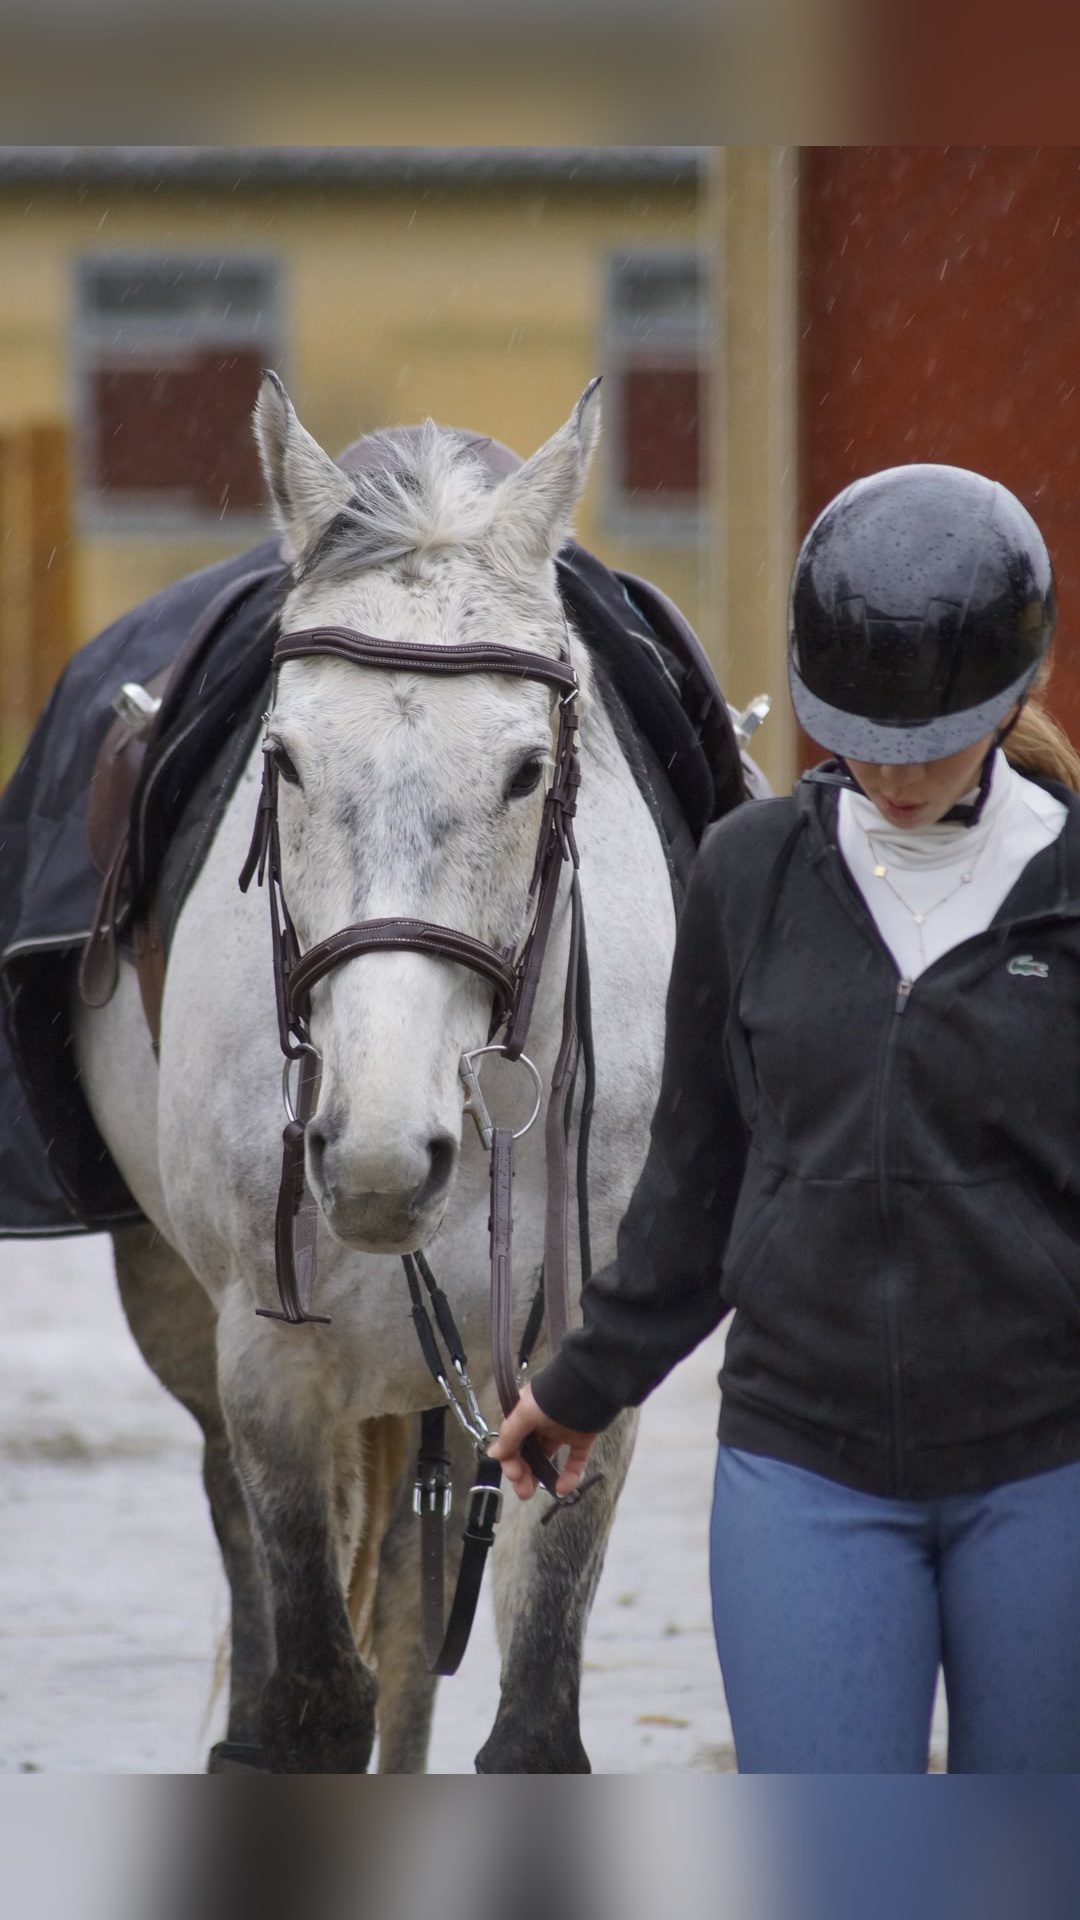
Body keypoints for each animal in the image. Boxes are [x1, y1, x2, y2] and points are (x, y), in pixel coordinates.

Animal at [70, 375, 680, 1772]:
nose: (377, 1160)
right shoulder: (270, 1370)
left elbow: (530, 1720)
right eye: (283, 757)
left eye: (527, 769)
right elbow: (308, 1699)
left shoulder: (575, 1374)